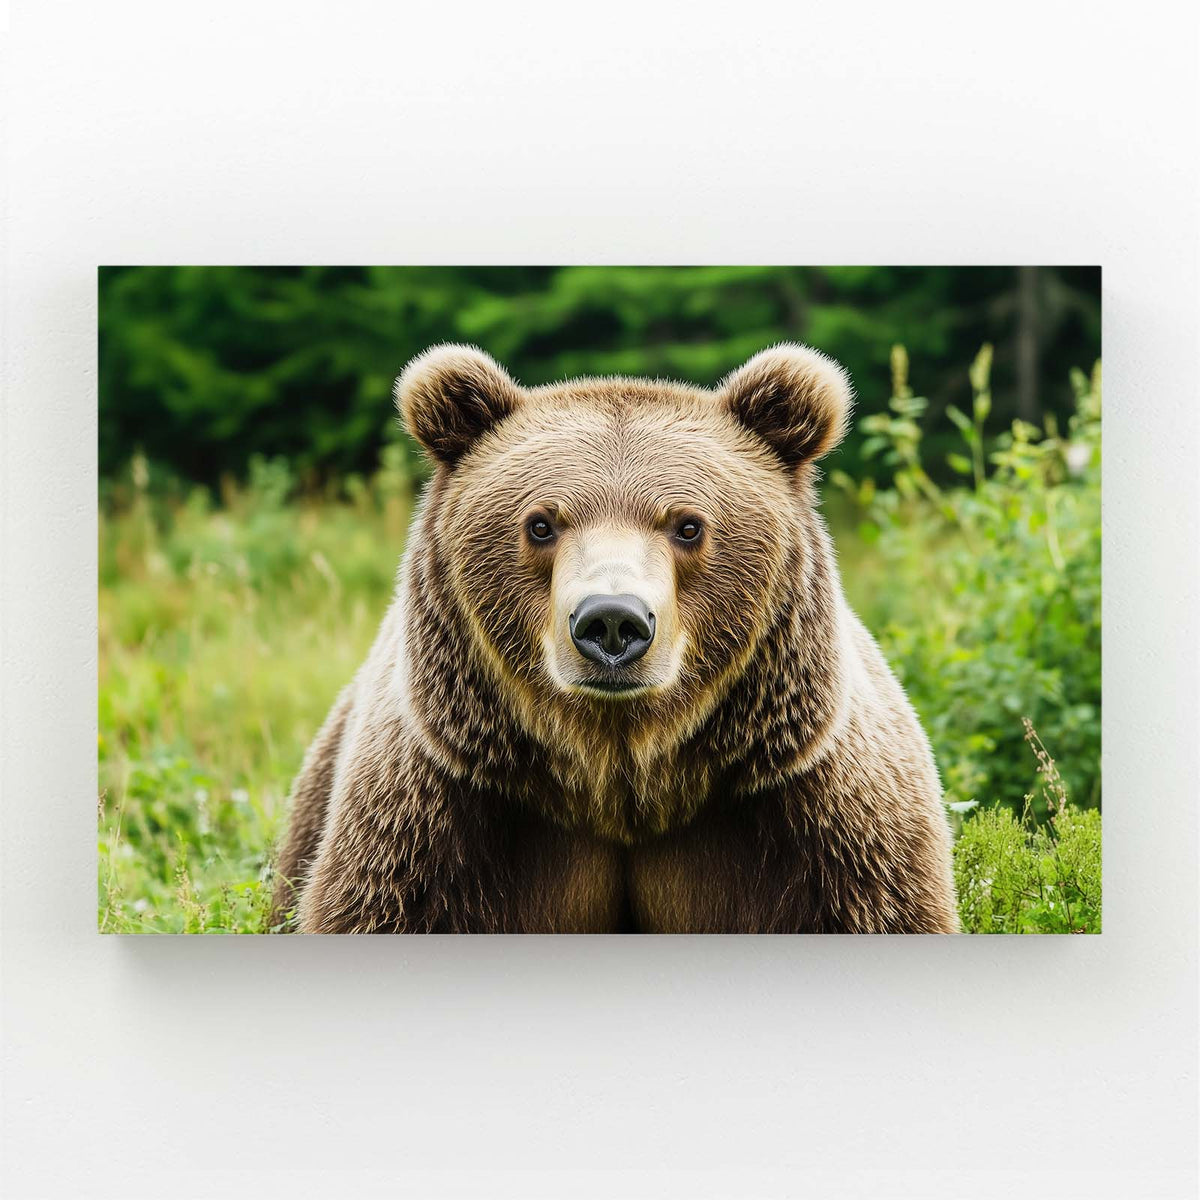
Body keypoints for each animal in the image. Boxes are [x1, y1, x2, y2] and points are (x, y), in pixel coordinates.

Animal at [273, 343, 959, 933]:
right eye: (540, 523)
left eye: (688, 525)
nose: (611, 621)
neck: (619, 779)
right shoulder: (436, 817)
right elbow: (381, 905)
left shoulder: (815, 818)